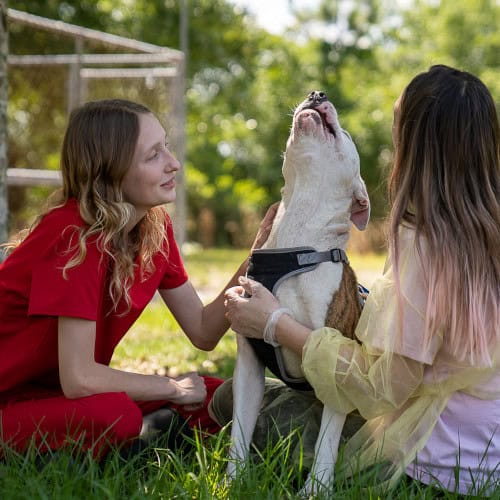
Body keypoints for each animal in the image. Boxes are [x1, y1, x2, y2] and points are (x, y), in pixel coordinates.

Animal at [229, 92, 370, 494]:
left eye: (348, 135)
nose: (318, 93)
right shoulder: (249, 361)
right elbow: (239, 429)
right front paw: (232, 482)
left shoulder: (337, 363)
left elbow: (327, 442)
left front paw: (315, 491)